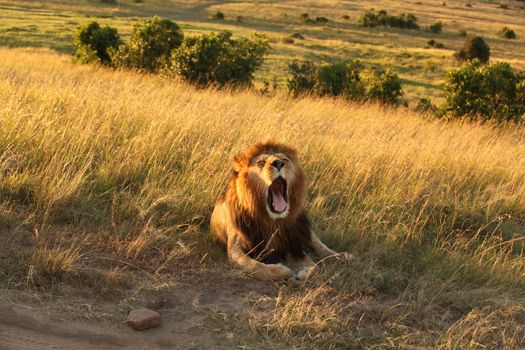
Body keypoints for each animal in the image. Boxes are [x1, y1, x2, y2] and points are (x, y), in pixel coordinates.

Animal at [209, 141, 352, 280]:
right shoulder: (235, 246)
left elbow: (314, 267)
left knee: (318, 243)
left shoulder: (292, 243)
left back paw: (341, 256)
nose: (279, 163)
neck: (273, 221)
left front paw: (304, 273)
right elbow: (255, 266)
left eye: (284, 160)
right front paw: (284, 271)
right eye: (261, 162)